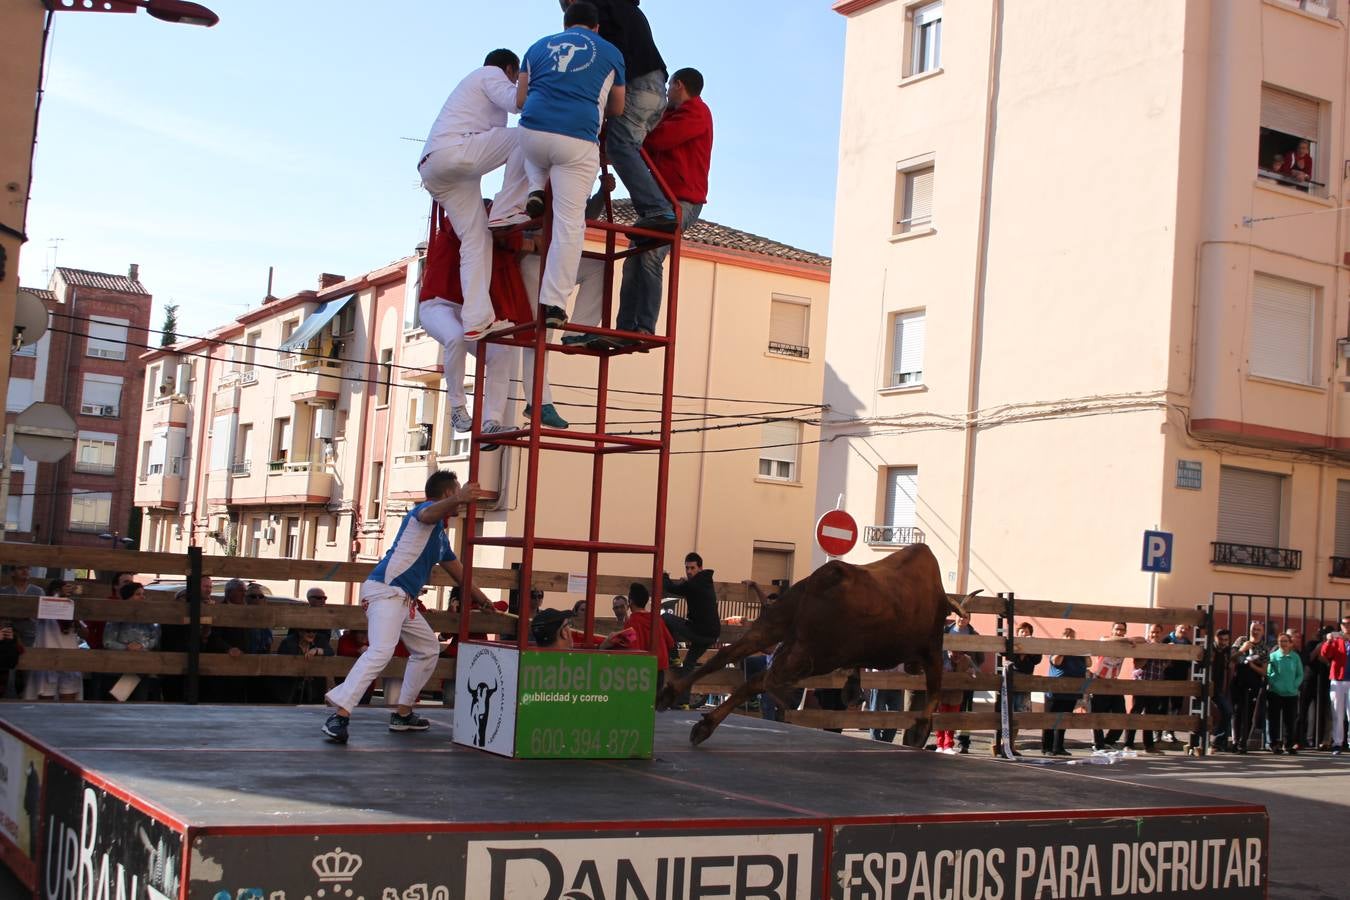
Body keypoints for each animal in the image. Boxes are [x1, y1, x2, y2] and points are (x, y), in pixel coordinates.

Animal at [653, 545, 972, 750]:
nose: (911, 666)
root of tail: (821, 579)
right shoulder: (931, 649)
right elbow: (934, 690)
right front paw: (919, 730)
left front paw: (852, 688)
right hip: (814, 654)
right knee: (760, 680)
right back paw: (706, 724)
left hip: (775, 625)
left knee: (727, 655)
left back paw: (671, 696)